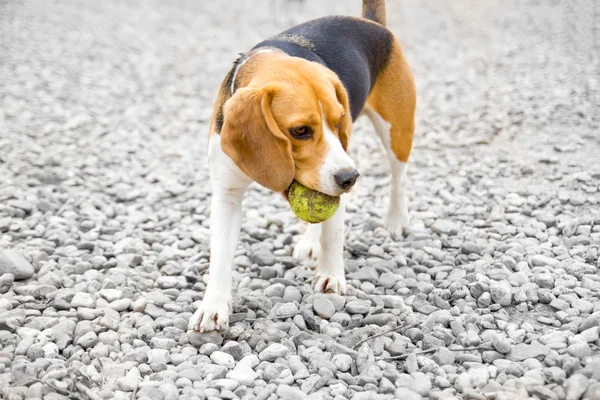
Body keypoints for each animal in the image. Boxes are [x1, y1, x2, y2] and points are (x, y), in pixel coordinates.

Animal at [190, 0, 414, 332]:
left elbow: (333, 235)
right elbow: (219, 255)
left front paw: (331, 276)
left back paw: (396, 220)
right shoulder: (226, 196)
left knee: (398, 177)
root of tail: (371, 22)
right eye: (299, 131)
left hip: (396, 132)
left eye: (339, 121)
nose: (350, 178)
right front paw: (213, 306)